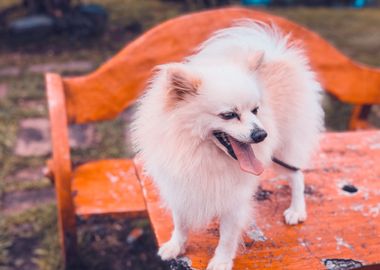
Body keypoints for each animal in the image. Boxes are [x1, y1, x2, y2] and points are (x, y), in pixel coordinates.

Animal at [133, 21, 324, 270]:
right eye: (228, 115)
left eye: (255, 110)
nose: (262, 134)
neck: (202, 155)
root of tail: (278, 55)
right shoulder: (180, 188)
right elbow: (181, 223)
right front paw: (176, 246)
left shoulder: (234, 200)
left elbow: (227, 236)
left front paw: (221, 261)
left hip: (285, 151)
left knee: (297, 176)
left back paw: (296, 210)